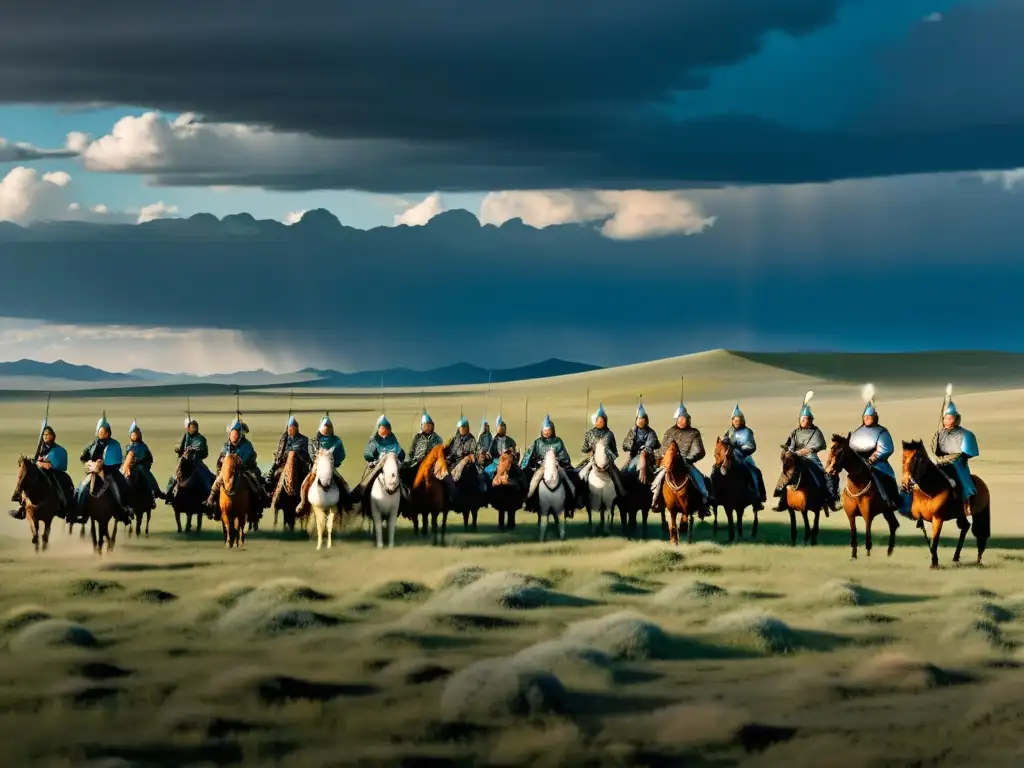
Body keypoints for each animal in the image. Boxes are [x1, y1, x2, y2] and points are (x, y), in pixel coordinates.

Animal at [901, 438, 987, 573]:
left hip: (980, 514)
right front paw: (933, 559)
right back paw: (956, 557)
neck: (931, 489)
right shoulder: (921, 518)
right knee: (965, 526)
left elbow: (935, 539)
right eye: (903, 457)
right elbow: (927, 539)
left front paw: (934, 563)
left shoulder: (938, 519)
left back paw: (978, 561)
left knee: (980, 533)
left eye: (916, 457)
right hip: (960, 514)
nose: (906, 483)